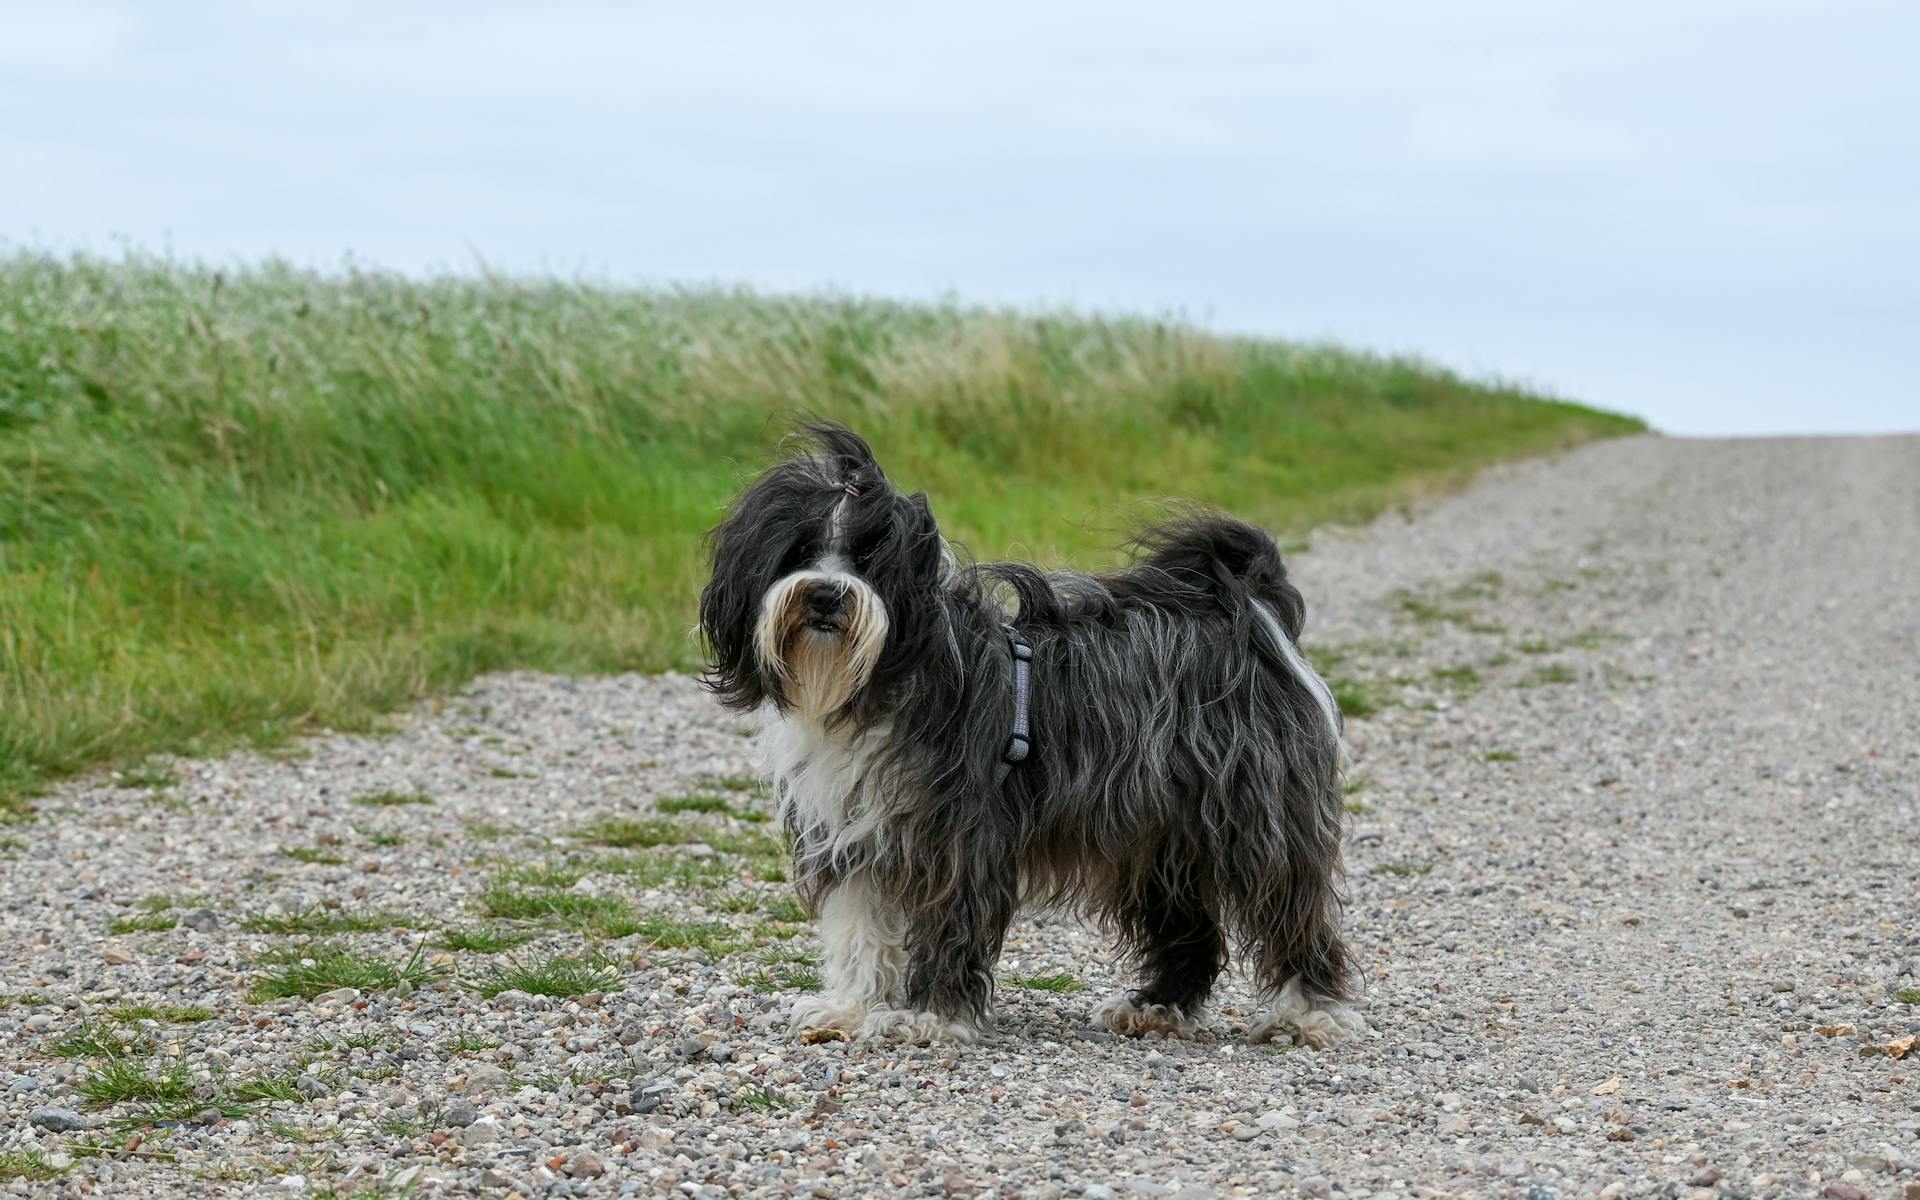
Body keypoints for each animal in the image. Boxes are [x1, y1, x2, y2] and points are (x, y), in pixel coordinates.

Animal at [698, 426, 1359, 1044]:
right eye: (800, 550)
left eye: (869, 557)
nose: (826, 595)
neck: (877, 682)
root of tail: (1246, 615)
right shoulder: (858, 831)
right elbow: (861, 926)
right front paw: (851, 1008)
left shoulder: (959, 837)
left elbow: (949, 925)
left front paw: (932, 1017)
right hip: (1157, 835)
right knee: (1187, 924)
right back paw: (1158, 1008)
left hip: (1255, 820)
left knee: (1290, 907)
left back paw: (1307, 1013)